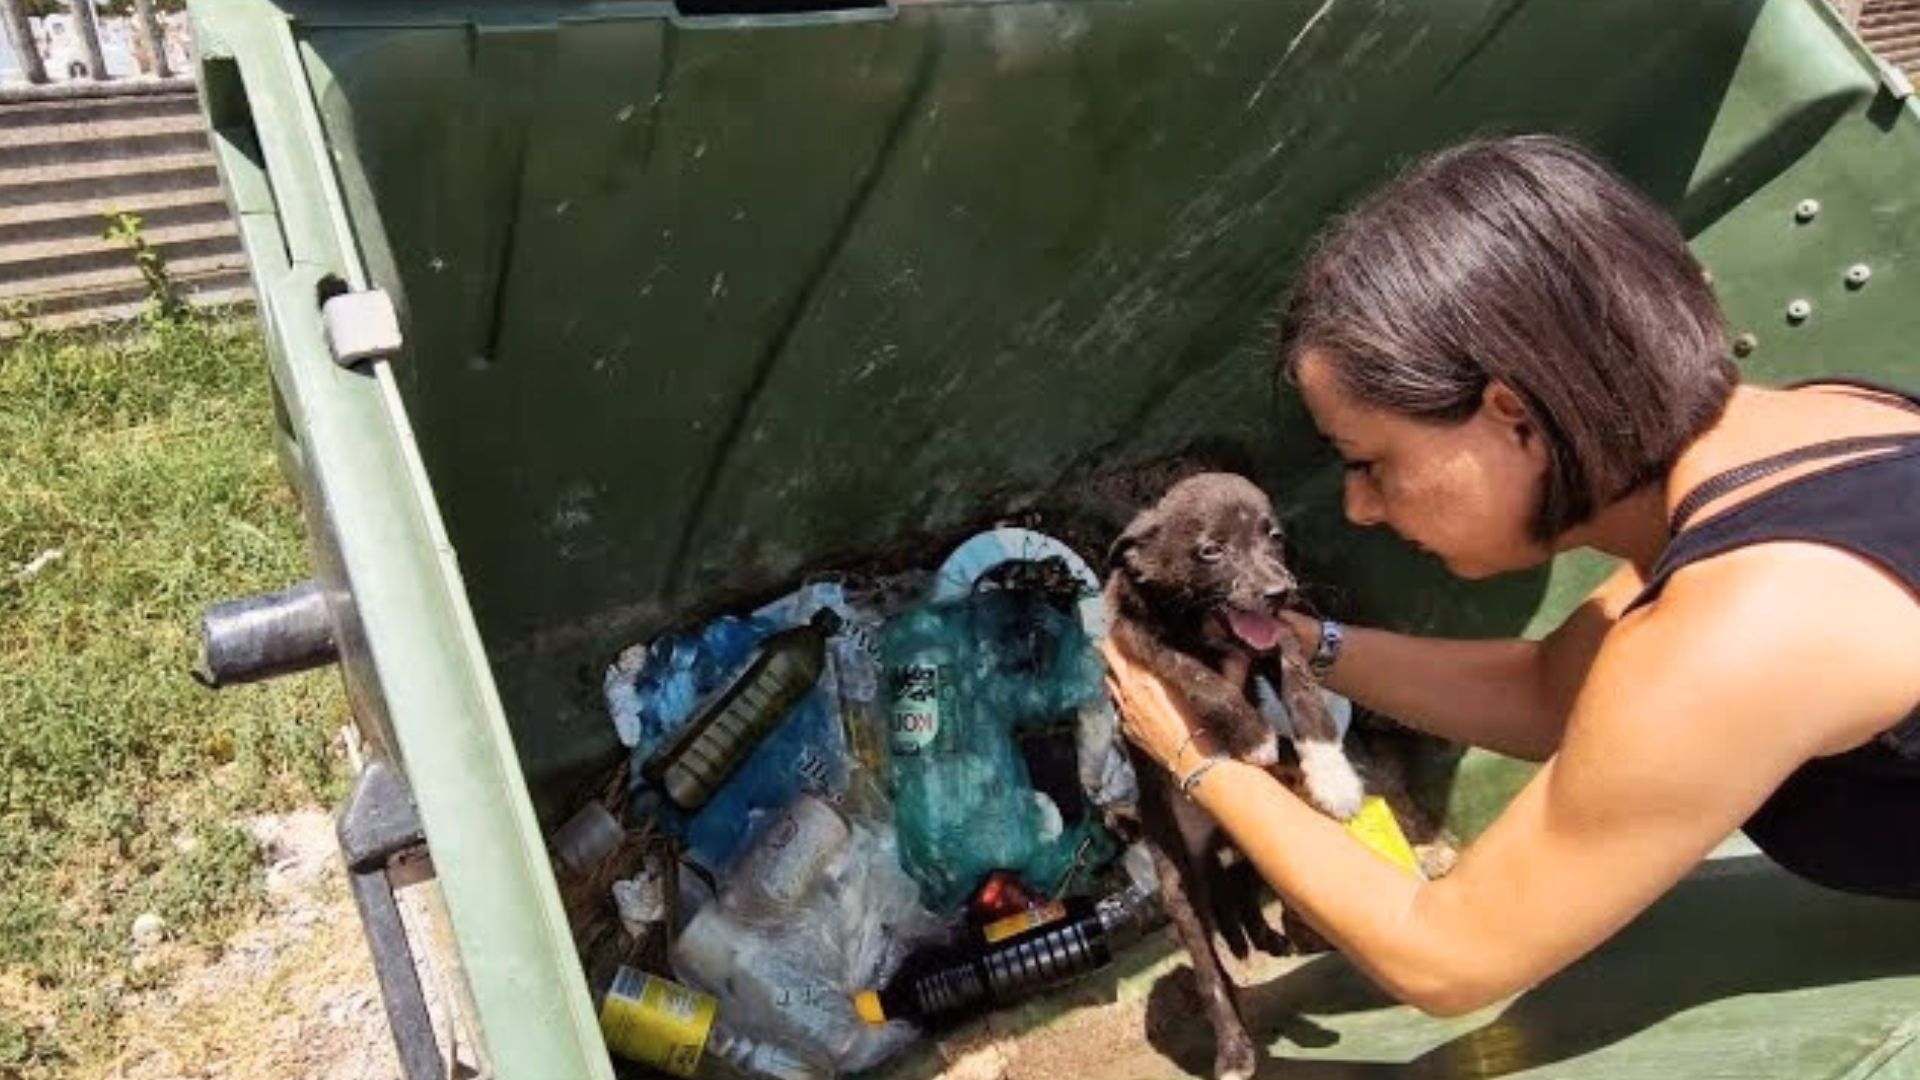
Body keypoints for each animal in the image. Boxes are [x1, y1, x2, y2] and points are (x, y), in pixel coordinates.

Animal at [1098, 470, 1367, 1076]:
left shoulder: (1278, 636)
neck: (1204, 626)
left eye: (1274, 536)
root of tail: (1209, 841)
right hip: (1176, 883)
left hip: (1254, 847)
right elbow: (1200, 678)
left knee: (1244, 884)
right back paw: (1235, 1046)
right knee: (1211, 973)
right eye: (1210, 551)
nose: (1279, 591)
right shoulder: (1135, 639)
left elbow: (1300, 685)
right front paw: (1251, 736)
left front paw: (1331, 771)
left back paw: (1270, 935)